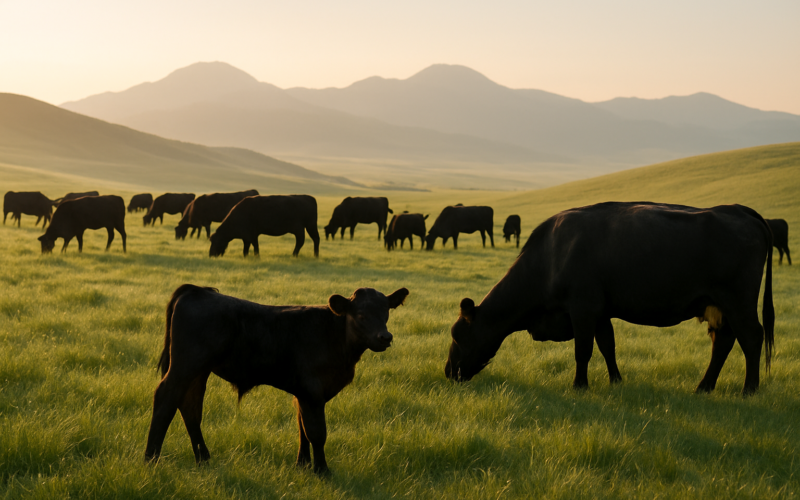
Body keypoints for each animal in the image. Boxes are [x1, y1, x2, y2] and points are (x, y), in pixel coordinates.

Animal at [144, 284, 409, 474]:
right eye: (361, 315)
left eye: (386, 312)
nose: (385, 337)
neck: (335, 337)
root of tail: (197, 290)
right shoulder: (312, 391)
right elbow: (316, 432)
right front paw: (322, 470)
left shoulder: (303, 393)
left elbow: (301, 427)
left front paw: (302, 465)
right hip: (184, 366)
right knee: (166, 398)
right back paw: (151, 458)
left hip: (198, 371)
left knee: (190, 407)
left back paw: (203, 459)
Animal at [444, 202, 774, 396]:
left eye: (459, 336)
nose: (448, 372)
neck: (549, 256)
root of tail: (739, 210)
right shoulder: (600, 312)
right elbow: (607, 346)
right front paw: (616, 381)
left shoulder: (583, 308)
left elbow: (583, 350)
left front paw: (579, 386)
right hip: (720, 305)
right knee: (723, 341)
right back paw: (704, 387)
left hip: (738, 302)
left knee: (751, 337)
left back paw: (750, 389)